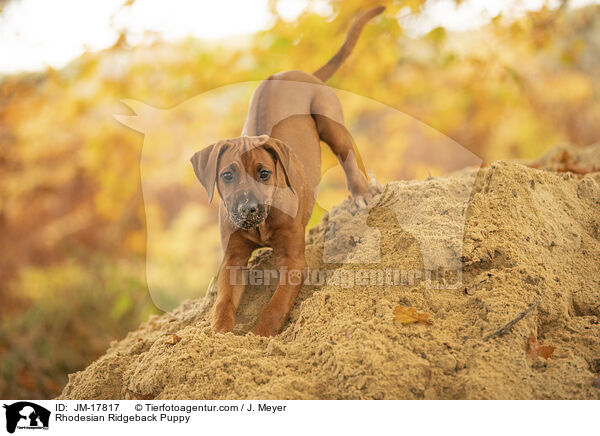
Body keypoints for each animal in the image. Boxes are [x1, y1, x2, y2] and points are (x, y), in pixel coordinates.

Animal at [191, 5, 384, 338]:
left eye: (264, 174)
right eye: (227, 176)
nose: (247, 209)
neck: (261, 224)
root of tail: (301, 73)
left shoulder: (294, 261)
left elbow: (275, 305)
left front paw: (260, 337)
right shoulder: (233, 260)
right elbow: (223, 302)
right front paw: (219, 334)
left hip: (330, 121)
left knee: (349, 156)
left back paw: (361, 193)